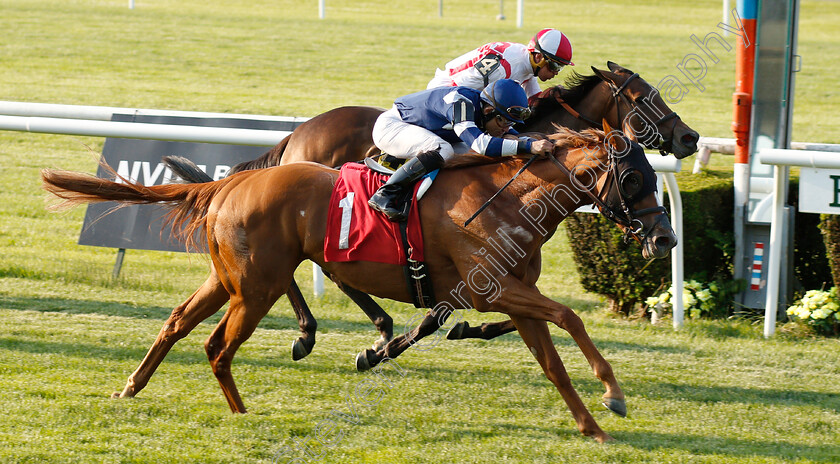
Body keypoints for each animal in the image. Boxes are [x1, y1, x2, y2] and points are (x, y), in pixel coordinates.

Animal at [162, 61, 696, 358]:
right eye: (646, 98)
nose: (689, 137)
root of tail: (298, 134)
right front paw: (389, 347)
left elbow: (477, 317)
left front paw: (461, 328)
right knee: (303, 273)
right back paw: (314, 332)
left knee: (327, 273)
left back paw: (372, 328)